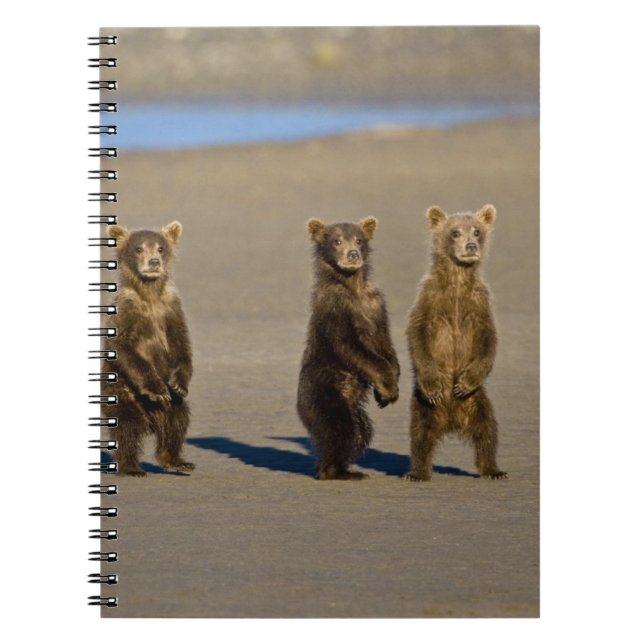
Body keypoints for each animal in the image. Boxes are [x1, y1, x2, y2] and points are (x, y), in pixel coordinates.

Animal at [102, 221, 194, 476]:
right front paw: (157, 388)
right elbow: (124, 347)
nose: (154, 262)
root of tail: (150, 413)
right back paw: (131, 466)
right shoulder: (126, 313)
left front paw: (179, 383)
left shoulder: (171, 309)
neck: (149, 294)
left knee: (177, 419)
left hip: (170, 408)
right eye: (138, 248)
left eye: (161, 248)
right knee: (128, 425)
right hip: (120, 390)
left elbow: (181, 344)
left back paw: (176, 459)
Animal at [297, 217, 400, 480]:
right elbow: (353, 348)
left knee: (361, 431)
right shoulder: (336, 309)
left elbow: (386, 345)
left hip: (353, 407)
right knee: (339, 429)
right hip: (324, 394)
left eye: (359, 239)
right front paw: (387, 387)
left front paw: (387, 390)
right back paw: (334, 471)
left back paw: (346, 467)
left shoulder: (376, 305)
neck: (352, 287)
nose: (352, 254)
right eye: (336, 241)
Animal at [405, 204, 507, 482]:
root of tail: (451, 421)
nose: (471, 245)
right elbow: (416, 334)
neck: (458, 281)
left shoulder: (479, 304)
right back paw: (417, 472)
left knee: (487, 431)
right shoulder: (430, 299)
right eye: (455, 232)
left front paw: (464, 382)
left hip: (478, 402)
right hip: (423, 407)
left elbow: (489, 340)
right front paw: (432, 384)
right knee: (420, 435)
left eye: (477, 231)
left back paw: (493, 469)